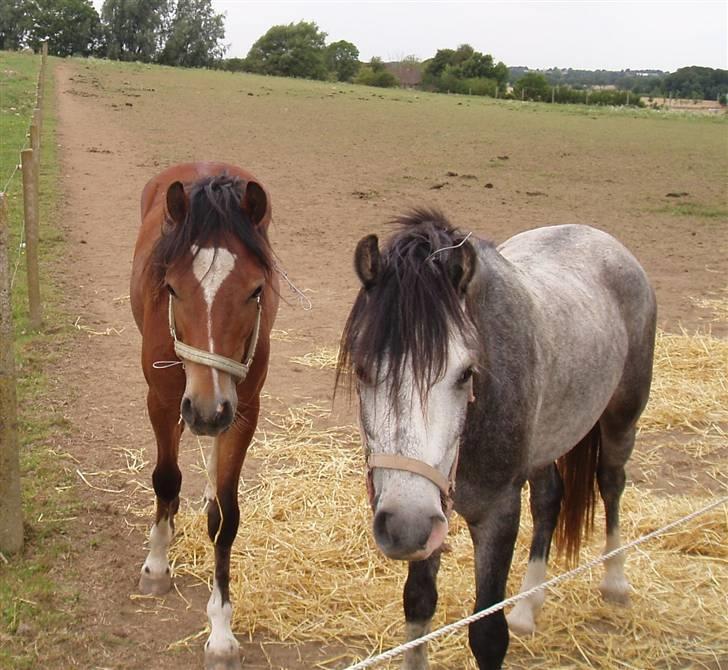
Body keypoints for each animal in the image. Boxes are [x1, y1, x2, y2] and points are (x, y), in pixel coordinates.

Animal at [131, 163, 278, 670]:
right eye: (172, 287)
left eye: (256, 291)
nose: (208, 410)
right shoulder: (162, 399)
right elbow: (165, 478)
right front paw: (157, 564)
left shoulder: (243, 411)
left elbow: (227, 518)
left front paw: (221, 629)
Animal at [338, 213, 656, 670]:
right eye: (362, 369)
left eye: (466, 373)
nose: (404, 526)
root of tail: (602, 239)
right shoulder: (433, 513)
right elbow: (418, 604)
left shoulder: (497, 513)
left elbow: (488, 633)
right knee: (549, 500)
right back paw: (528, 607)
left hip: (621, 419)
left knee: (610, 484)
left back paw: (615, 582)